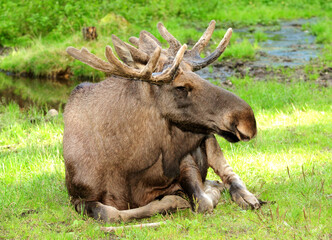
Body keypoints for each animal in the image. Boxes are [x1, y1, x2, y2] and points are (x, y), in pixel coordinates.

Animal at [63, 20, 262, 223]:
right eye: (181, 87)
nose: (248, 120)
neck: (128, 164)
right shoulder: (77, 196)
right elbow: (109, 213)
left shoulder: (186, 162)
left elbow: (203, 201)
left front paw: (198, 194)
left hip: (209, 138)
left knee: (230, 174)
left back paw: (245, 196)